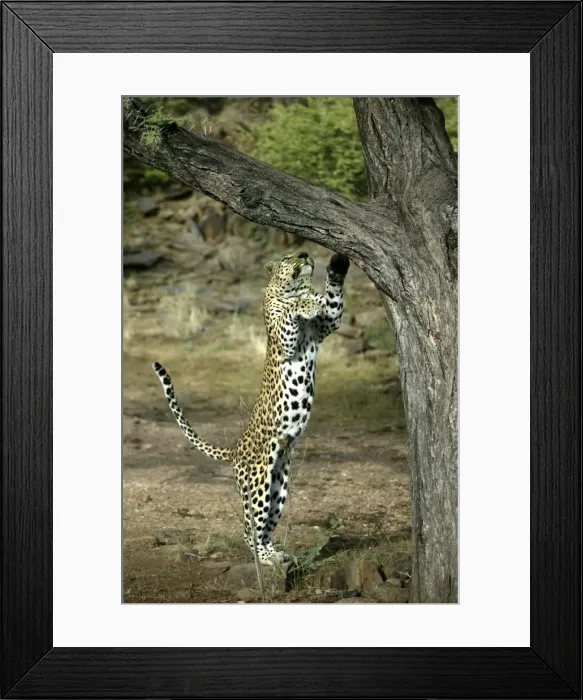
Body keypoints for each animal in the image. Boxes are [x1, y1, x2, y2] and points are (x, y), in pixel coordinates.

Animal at [153, 250, 350, 565]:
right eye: (288, 256)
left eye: (300, 251)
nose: (305, 254)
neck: (295, 289)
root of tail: (235, 448)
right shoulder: (283, 335)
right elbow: (290, 313)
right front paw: (305, 304)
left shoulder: (328, 323)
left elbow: (331, 300)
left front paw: (337, 267)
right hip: (258, 483)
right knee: (249, 529)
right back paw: (264, 558)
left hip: (279, 486)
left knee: (265, 524)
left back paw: (275, 554)